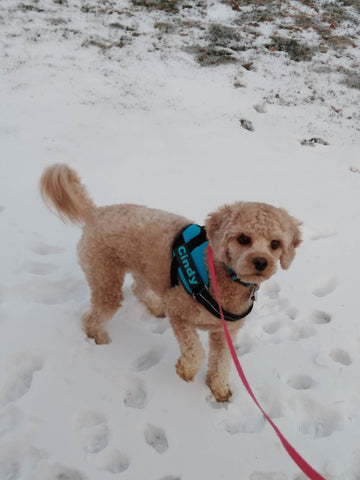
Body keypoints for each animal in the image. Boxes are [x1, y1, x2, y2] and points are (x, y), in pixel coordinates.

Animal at [39, 165, 300, 402]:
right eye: (243, 238)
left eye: (275, 244)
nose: (261, 262)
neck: (219, 274)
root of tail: (96, 212)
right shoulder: (179, 311)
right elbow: (196, 351)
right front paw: (185, 371)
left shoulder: (225, 332)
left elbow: (222, 362)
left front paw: (219, 390)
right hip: (106, 277)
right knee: (93, 315)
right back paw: (98, 337)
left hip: (146, 269)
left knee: (138, 288)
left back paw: (154, 307)